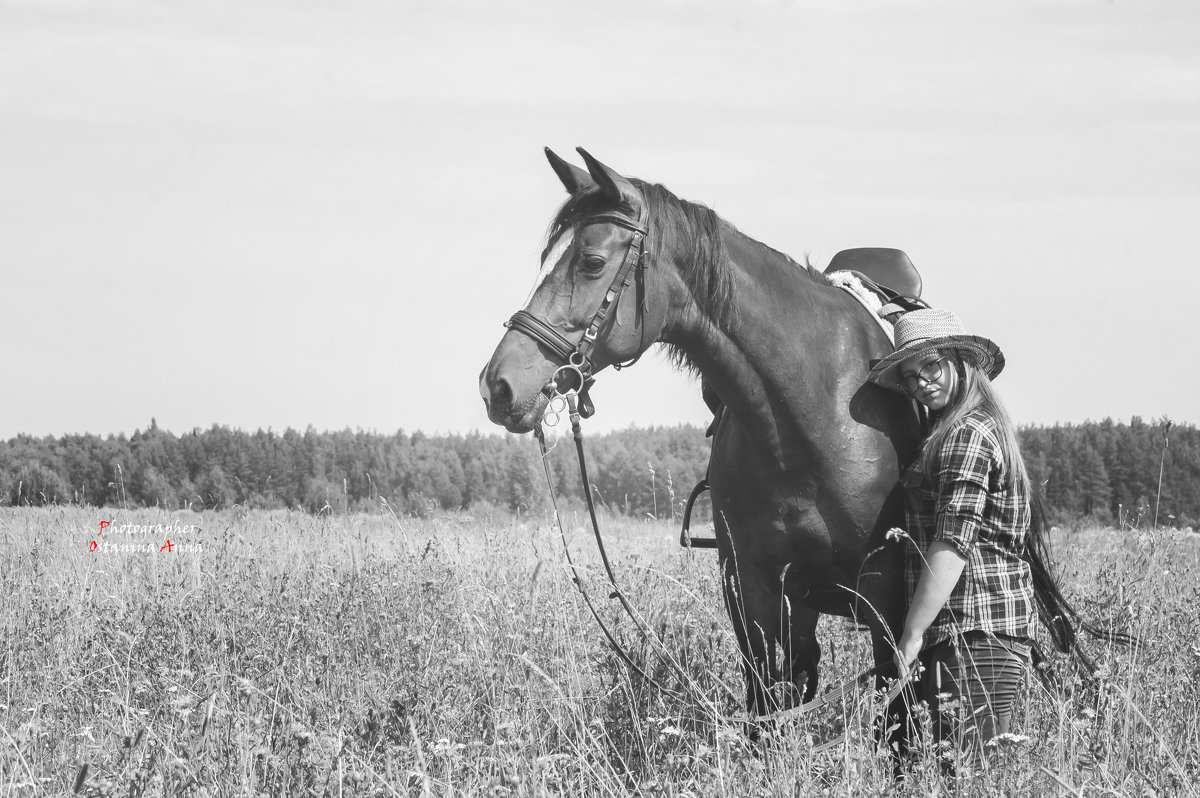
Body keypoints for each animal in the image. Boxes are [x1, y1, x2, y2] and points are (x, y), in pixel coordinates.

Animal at [477, 147, 916, 715]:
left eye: (591, 262)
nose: (498, 385)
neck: (814, 415)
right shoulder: (750, 592)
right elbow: (764, 706)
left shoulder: (886, 600)